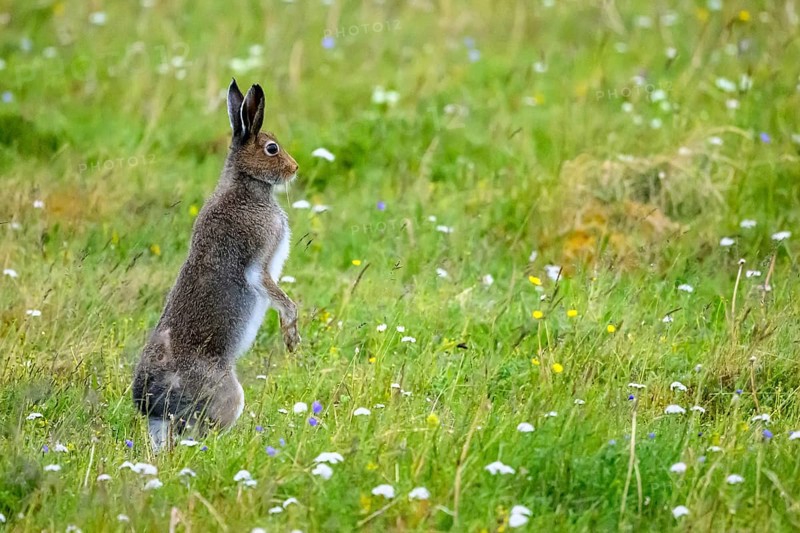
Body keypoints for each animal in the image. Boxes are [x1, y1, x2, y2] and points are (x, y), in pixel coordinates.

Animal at [132, 79, 301, 451]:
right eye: (271, 148)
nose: (295, 168)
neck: (245, 185)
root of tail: (153, 403)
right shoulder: (258, 261)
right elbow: (277, 294)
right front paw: (292, 336)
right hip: (227, 395)